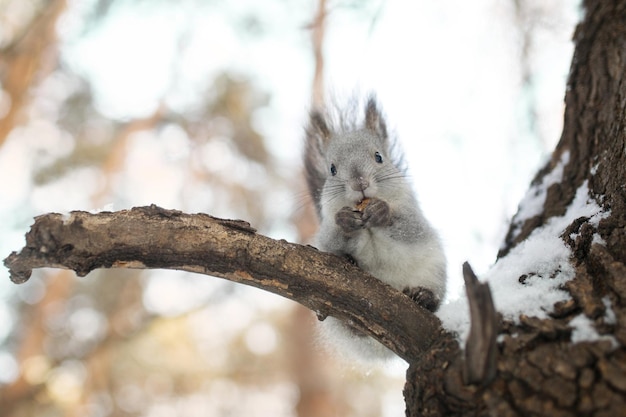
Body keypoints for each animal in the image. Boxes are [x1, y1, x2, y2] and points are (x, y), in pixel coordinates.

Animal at [302, 95, 444, 360]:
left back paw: (424, 297)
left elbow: (410, 228)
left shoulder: (415, 217)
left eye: (379, 157)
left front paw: (382, 212)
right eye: (332, 169)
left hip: (435, 271)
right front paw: (345, 222)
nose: (359, 183)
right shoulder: (324, 232)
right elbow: (330, 239)